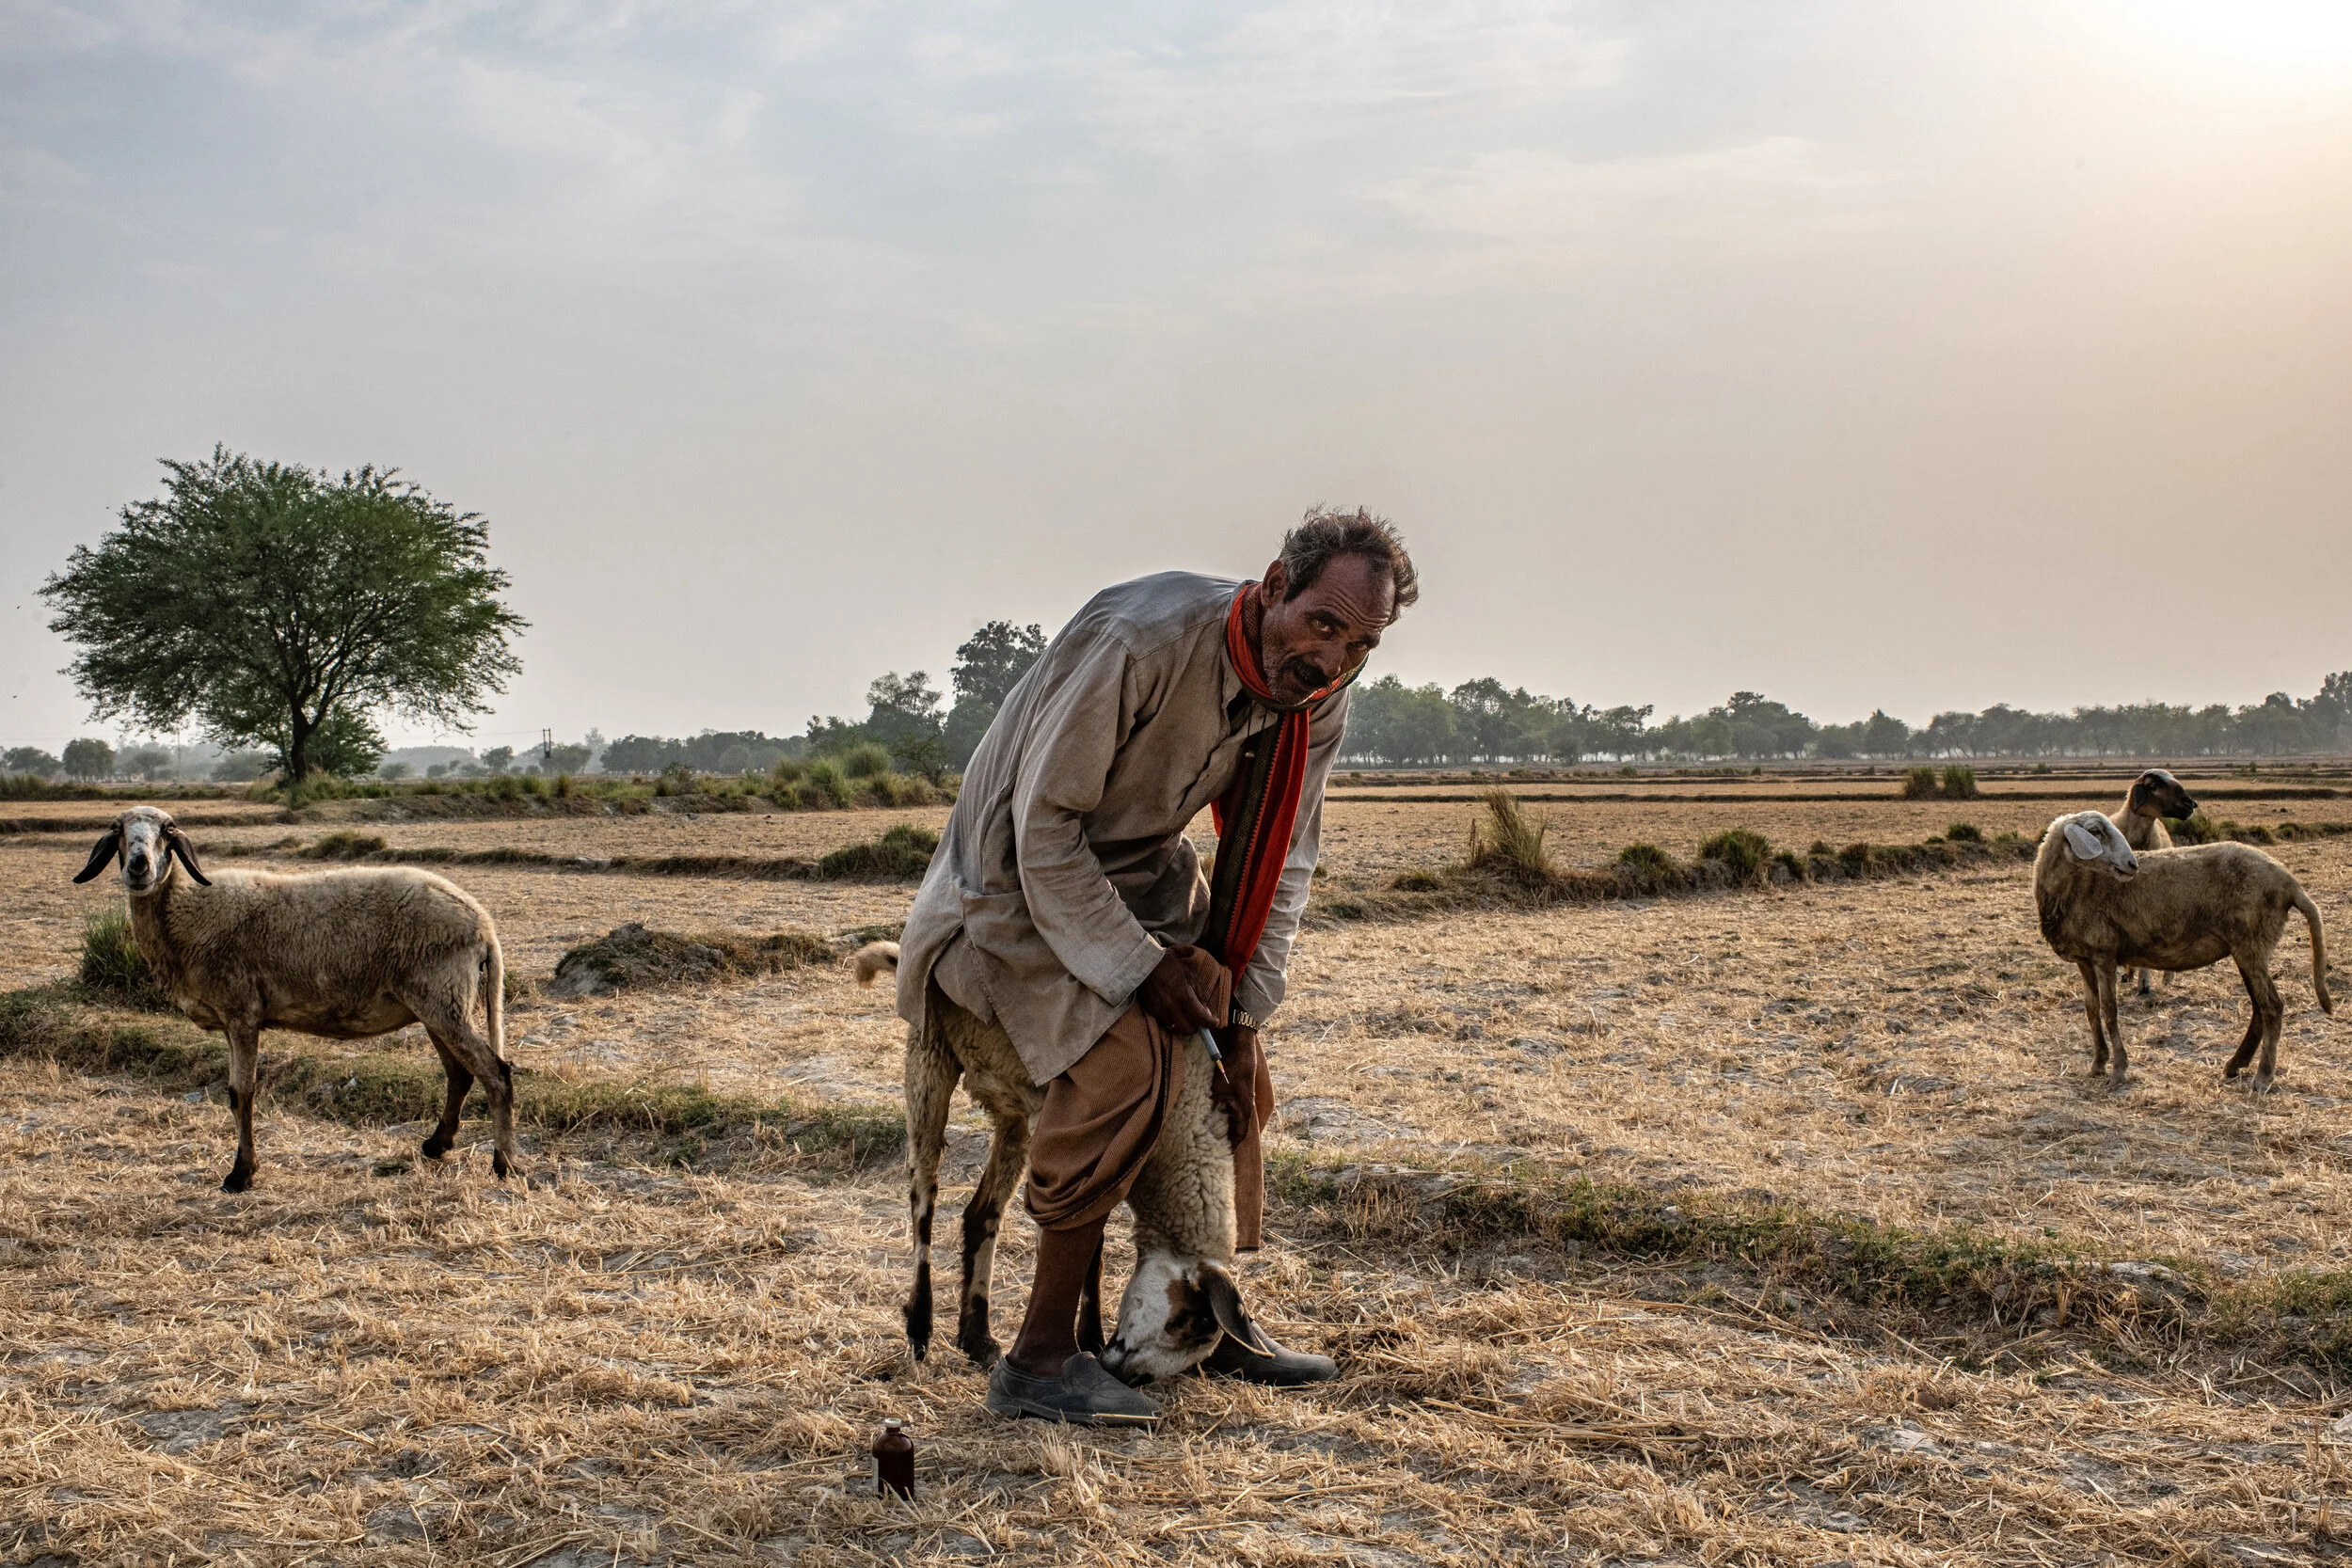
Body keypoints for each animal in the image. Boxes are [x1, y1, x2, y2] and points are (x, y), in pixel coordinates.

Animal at [72, 806, 516, 1191]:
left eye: (167, 831)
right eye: (117, 830)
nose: (139, 866)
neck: (185, 910)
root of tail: (483, 924)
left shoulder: (241, 1013)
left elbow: (242, 1092)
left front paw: (241, 1174)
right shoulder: (232, 1020)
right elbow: (234, 1093)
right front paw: (242, 1169)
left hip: (443, 998)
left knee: (495, 1072)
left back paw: (504, 1164)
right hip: (437, 1004)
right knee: (460, 1074)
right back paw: (437, 1145)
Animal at [854, 941, 1275, 1386]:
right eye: (1184, 1321)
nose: (1132, 1378)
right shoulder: (1081, 1133)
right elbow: (1086, 1239)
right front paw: (1088, 1340)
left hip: (1013, 1110)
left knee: (981, 1213)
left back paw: (978, 1338)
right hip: (930, 1054)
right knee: (924, 1191)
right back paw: (920, 1327)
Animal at [2033, 810, 2330, 1090]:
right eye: (2095, 831)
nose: (2132, 864)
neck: (2076, 890)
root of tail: (2290, 883)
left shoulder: (2104, 954)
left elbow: (2109, 1011)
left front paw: (2118, 1070)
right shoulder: (2084, 959)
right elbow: (2092, 1011)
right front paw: (2097, 1064)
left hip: (2252, 942)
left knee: (2272, 1006)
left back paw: (2263, 1077)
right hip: (2248, 947)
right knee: (2259, 1007)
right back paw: (2236, 1064)